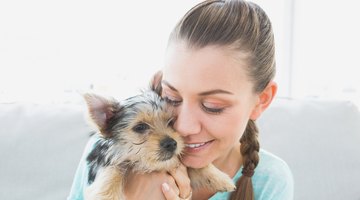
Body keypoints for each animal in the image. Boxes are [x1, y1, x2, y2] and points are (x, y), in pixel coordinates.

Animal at [82, 89, 235, 200]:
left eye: (171, 122)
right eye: (140, 127)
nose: (171, 144)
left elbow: (196, 166)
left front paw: (220, 179)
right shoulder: (102, 158)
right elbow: (112, 169)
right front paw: (107, 195)